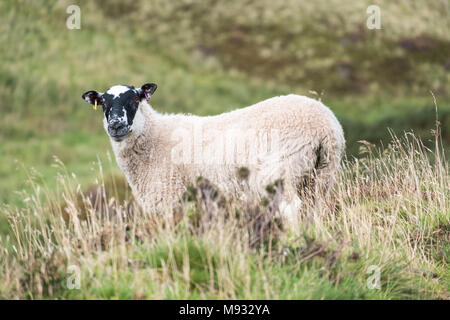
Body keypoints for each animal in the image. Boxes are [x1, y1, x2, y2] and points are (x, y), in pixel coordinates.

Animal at [82, 82, 346, 218]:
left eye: (135, 99)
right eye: (103, 103)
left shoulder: (168, 200)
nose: (116, 125)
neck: (155, 138)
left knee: (290, 209)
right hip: (320, 176)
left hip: (280, 171)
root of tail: (325, 125)